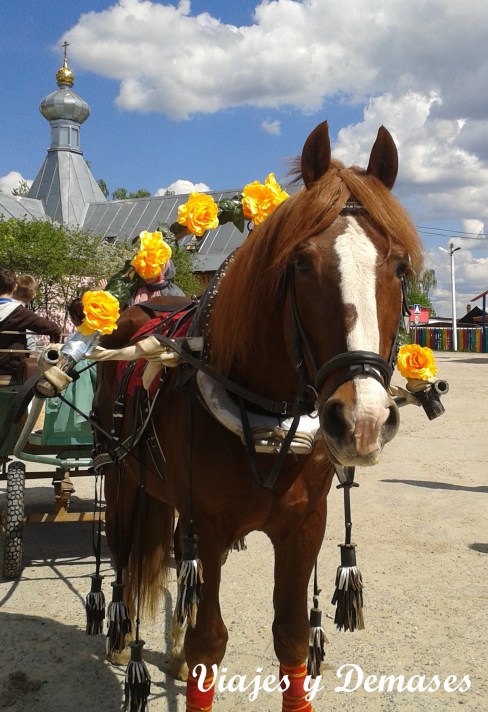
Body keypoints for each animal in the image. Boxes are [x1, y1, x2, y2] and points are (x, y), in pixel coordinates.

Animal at [92, 120, 423, 711]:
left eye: (399, 266)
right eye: (301, 263)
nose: (361, 419)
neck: (265, 414)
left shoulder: (304, 527)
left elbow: (290, 636)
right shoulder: (211, 528)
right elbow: (210, 641)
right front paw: (185, 653)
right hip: (124, 478)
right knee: (126, 559)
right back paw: (122, 637)